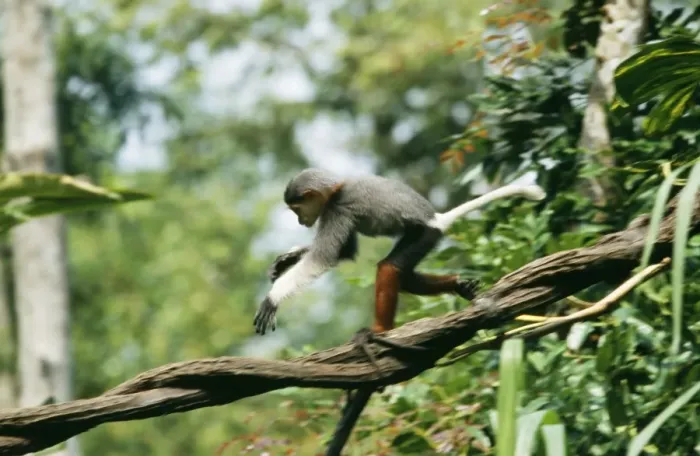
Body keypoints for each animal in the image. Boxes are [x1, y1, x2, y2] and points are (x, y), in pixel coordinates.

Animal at [254, 168, 546, 338]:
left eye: (296, 209)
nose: (299, 220)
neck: (336, 188)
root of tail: (435, 218)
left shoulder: (337, 209)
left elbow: (323, 258)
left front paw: (273, 297)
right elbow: (344, 252)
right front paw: (288, 258)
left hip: (423, 235)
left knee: (388, 267)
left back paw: (380, 330)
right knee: (402, 276)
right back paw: (458, 285)